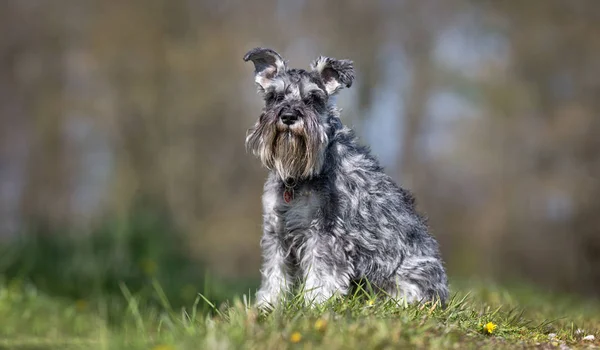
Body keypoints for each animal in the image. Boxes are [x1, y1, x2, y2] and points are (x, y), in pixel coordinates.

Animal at [243, 47, 446, 308]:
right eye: (274, 96)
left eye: (313, 99)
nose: (288, 116)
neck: (298, 177)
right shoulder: (276, 232)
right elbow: (274, 274)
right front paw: (268, 307)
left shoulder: (326, 234)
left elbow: (321, 274)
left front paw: (315, 305)